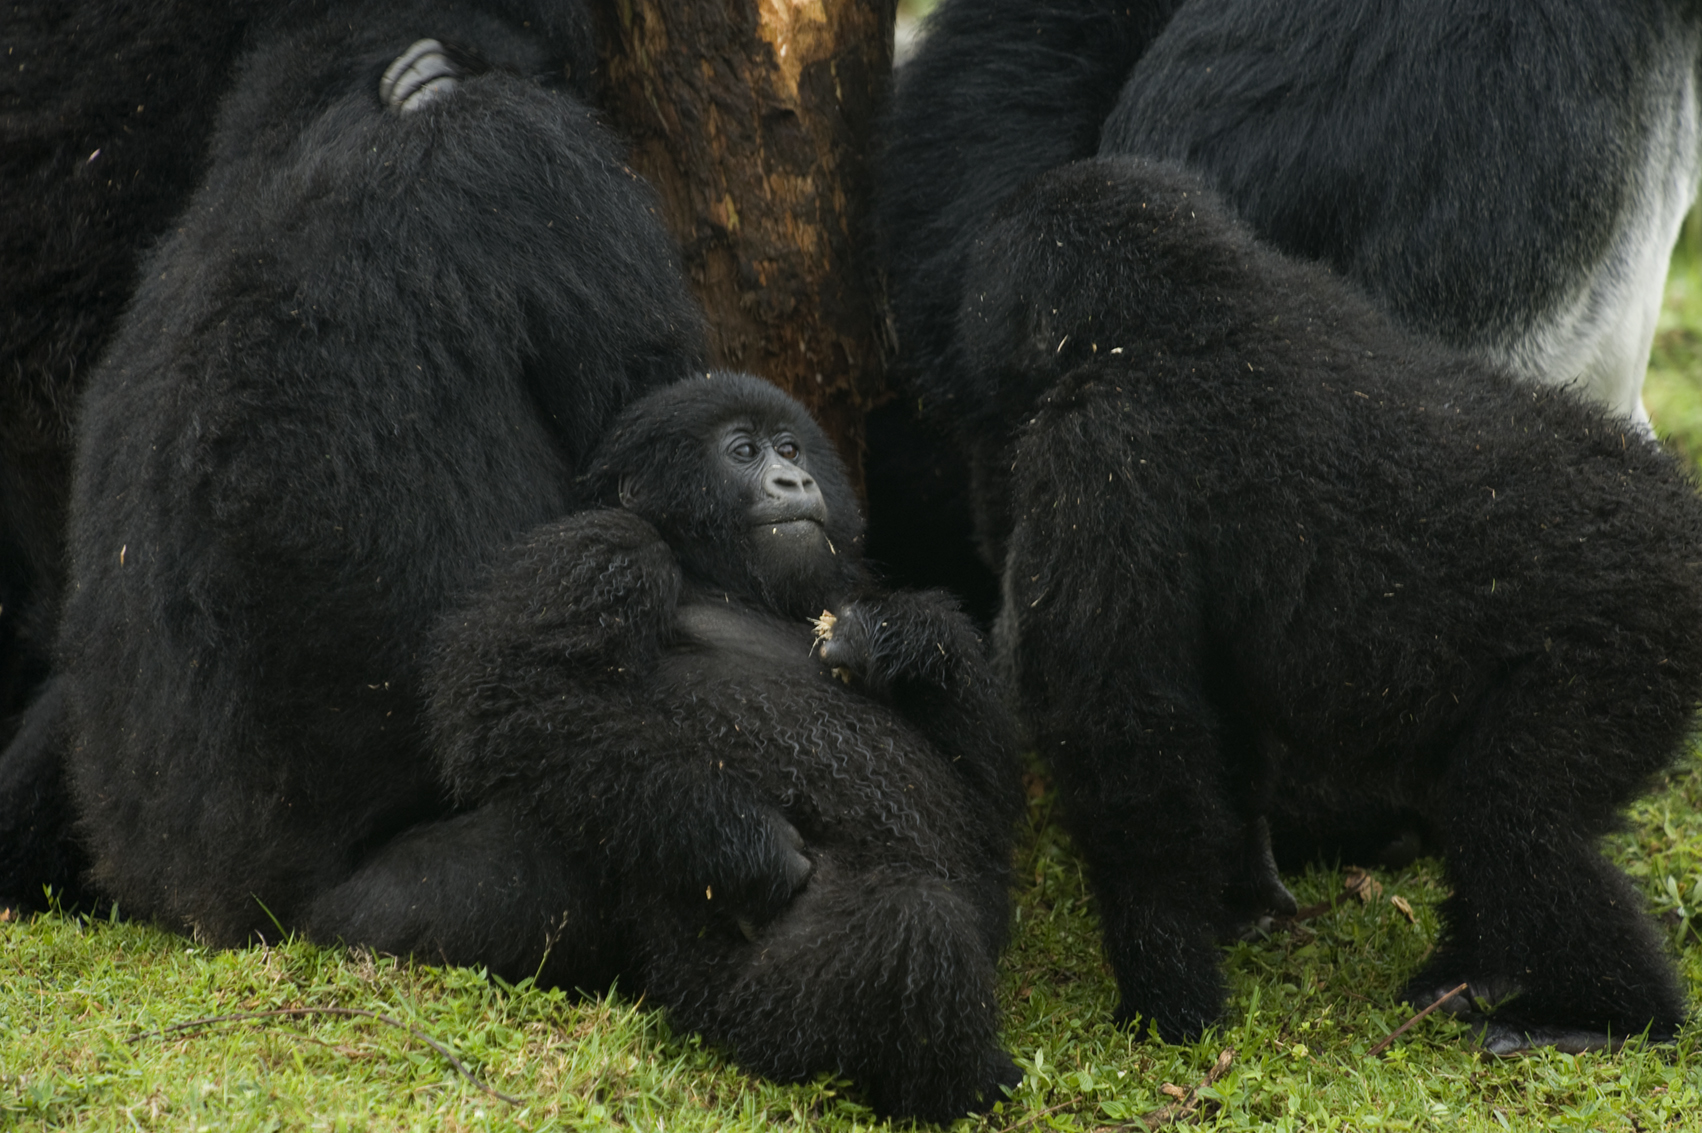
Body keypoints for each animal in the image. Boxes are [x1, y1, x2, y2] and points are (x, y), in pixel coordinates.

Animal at [423, 372, 1014, 1122]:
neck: (721, 578)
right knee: (916, 925)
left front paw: (906, 636)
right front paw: (745, 846)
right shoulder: (605, 550)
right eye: (743, 452)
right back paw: (968, 1086)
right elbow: (509, 701)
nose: (795, 479)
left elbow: (990, 806)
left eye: (789, 447)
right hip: (748, 1014)